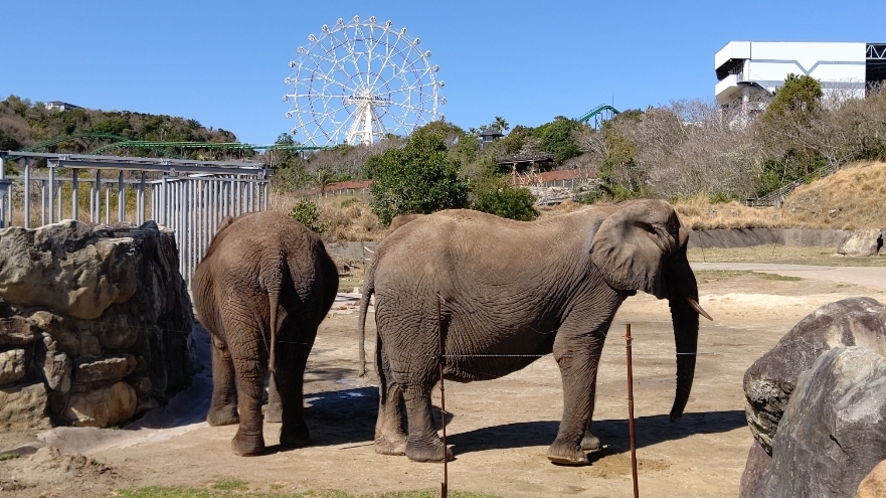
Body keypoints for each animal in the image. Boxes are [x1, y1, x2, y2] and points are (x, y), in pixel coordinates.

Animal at [194, 210, 340, 456]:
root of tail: (274, 257)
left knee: (251, 364)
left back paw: (244, 449)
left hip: (238, 291)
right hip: (305, 288)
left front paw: (218, 422)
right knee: (290, 364)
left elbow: (220, 348)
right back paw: (295, 439)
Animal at [358, 200, 712, 464]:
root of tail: (379, 254)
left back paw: (394, 448)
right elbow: (575, 348)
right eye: (680, 249)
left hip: (398, 309)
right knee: (419, 375)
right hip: (415, 305)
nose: (674, 419)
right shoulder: (595, 285)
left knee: (390, 375)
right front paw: (571, 457)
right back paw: (433, 456)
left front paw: (592, 445)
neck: (617, 209)